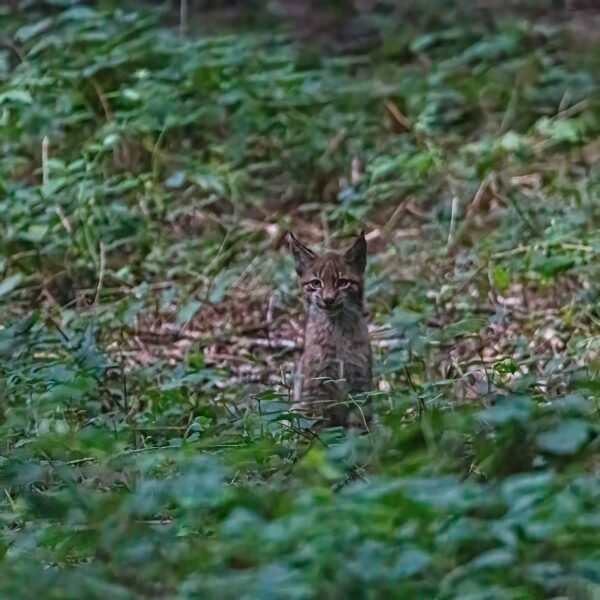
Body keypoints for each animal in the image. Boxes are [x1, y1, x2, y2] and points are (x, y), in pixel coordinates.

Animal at [288, 231, 372, 426]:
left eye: (342, 282)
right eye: (316, 283)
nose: (328, 300)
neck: (337, 326)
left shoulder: (360, 385)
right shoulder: (316, 389)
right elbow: (319, 426)